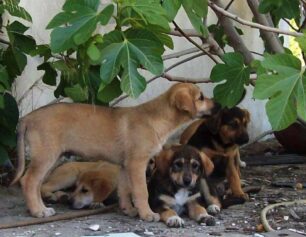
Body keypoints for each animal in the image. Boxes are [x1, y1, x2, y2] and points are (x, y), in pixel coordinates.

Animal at [10, 82, 215, 221]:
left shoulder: (125, 166)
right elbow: (141, 191)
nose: (217, 106)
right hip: (46, 156)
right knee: (29, 181)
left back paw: (41, 206)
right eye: (201, 98)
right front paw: (147, 214)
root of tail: (27, 118)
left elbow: (125, 190)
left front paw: (128, 210)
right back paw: (39, 211)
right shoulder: (137, 164)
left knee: (38, 184)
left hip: (50, 158)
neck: (157, 119)